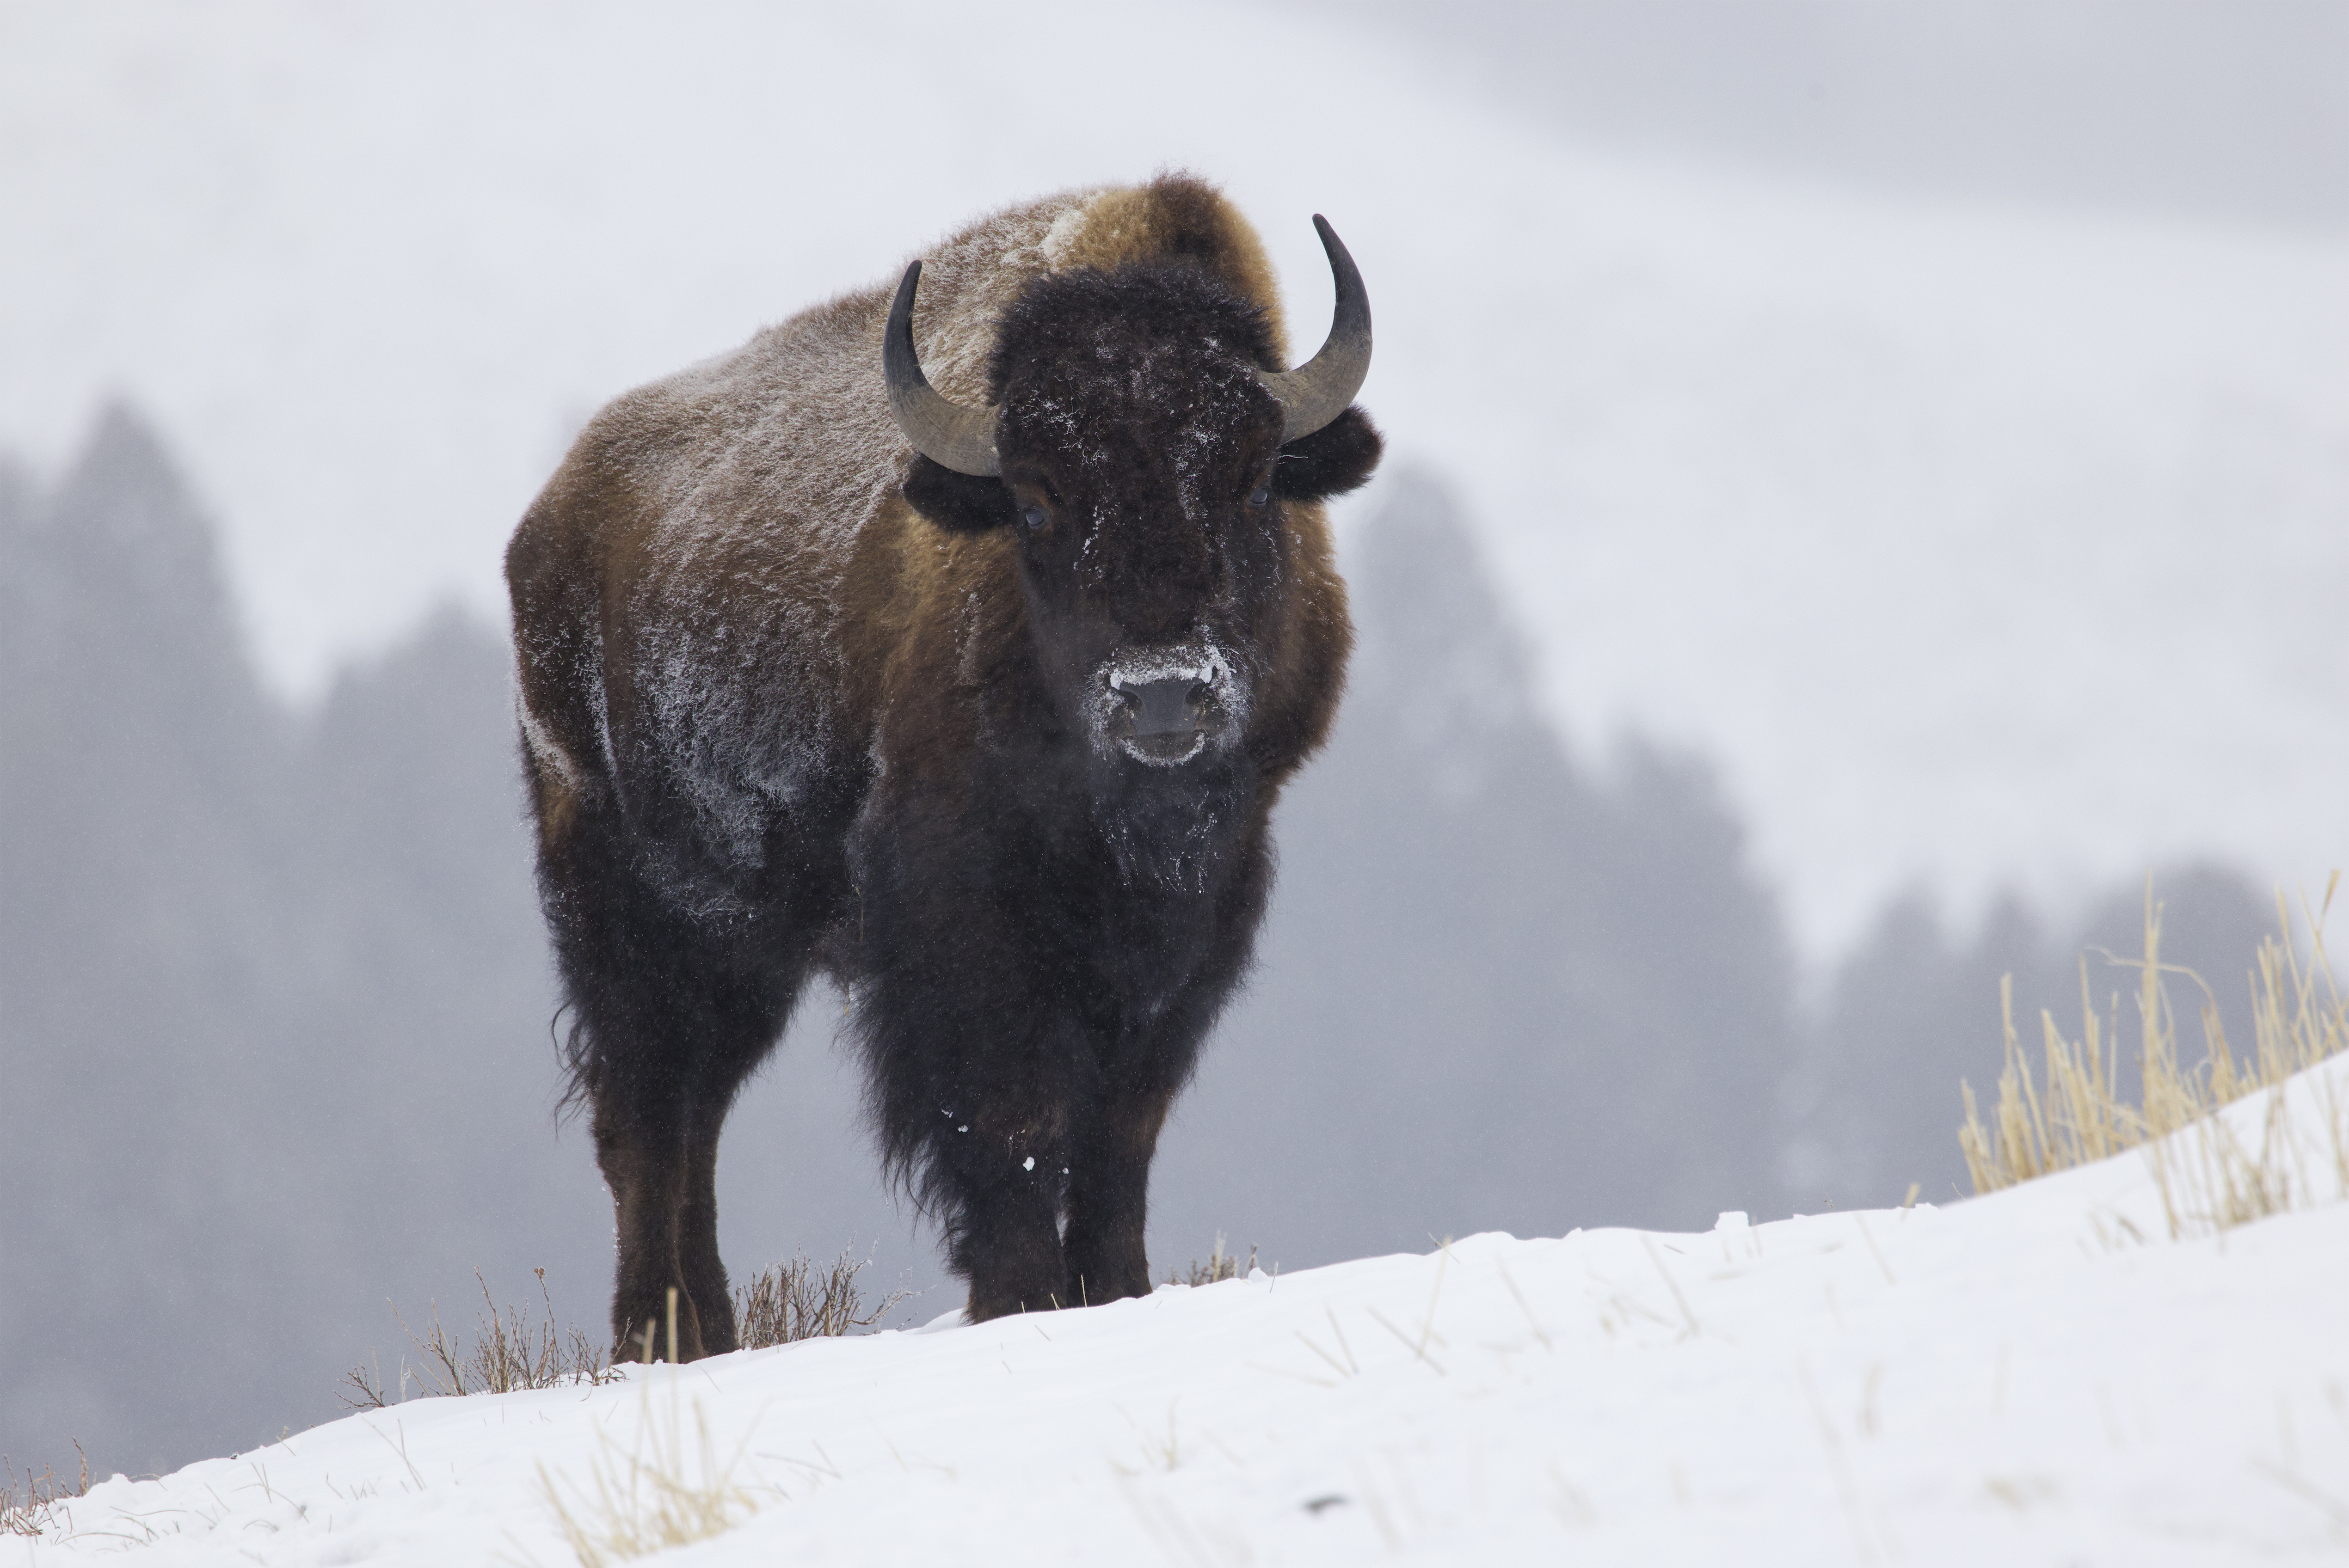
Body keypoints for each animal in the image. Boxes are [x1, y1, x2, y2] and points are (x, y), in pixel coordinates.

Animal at [505, 174, 1381, 1355]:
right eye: (1037, 502)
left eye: (1250, 486)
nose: (1160, 693)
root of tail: (546, 522)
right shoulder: (962, 931)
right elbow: (1009, 1122)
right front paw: (1016, 1297)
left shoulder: (1187, 938)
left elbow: (1120, 1135)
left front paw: (1116, 1286)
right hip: (630, 914)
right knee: (644, 1117)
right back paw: (661, 1337)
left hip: (742, 950)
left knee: (692, 1117)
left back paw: (710, 1329)